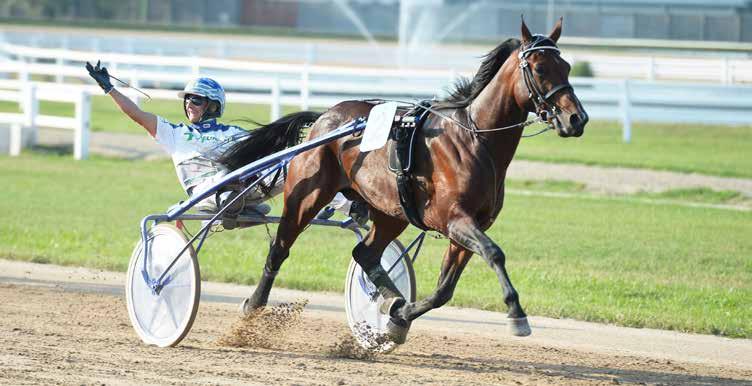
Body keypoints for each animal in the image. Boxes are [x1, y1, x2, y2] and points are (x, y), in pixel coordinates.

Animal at [228, 18, 588, 344]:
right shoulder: (454, 218)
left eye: (567, 66)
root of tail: (324, 118)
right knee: (279, 248)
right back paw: (253, 307)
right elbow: (494, 253)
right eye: (539, 68)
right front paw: (517, 314)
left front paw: (398, 316)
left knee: (365, 253)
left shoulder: (470, 226)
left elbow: (444, 289)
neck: (474, 139)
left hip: (391, 212)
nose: (577, 118)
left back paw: (389, 299)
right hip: (306, 195)